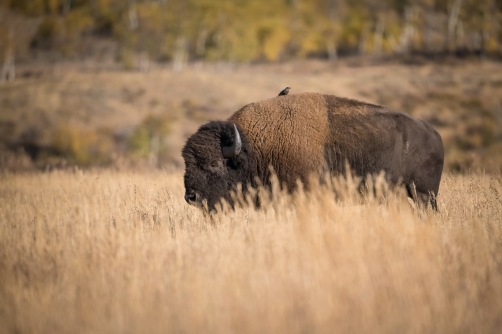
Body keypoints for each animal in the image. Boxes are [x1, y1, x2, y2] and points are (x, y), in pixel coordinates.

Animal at [180, 92, 444, 211]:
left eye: (214, 163)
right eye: (187, 163)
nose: (191, 197)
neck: (253, 148)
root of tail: (434, 134)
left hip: (424, 194)